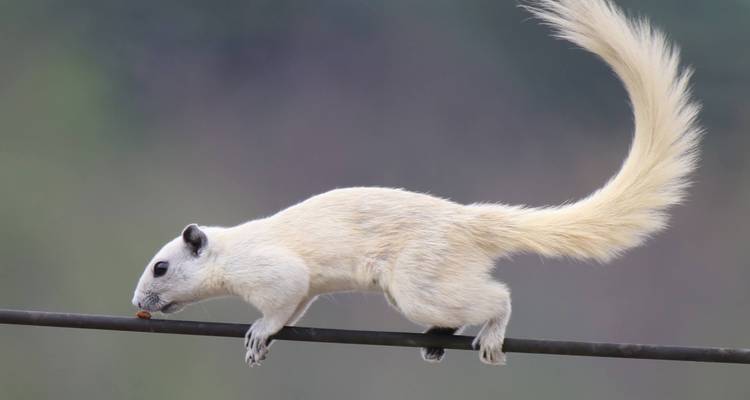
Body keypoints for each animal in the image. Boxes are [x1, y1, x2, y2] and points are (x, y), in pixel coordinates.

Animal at [132, 0, 702, 367]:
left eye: (161, 267)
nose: (140, 301)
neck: (230, 252)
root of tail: (469, 221)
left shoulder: (274, 272)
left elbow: (279, 303)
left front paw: (258, 335)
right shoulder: (304, 288)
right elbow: (297, 306)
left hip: (421, 280)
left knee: (496, 296)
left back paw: (489, 335)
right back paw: (437, 340)